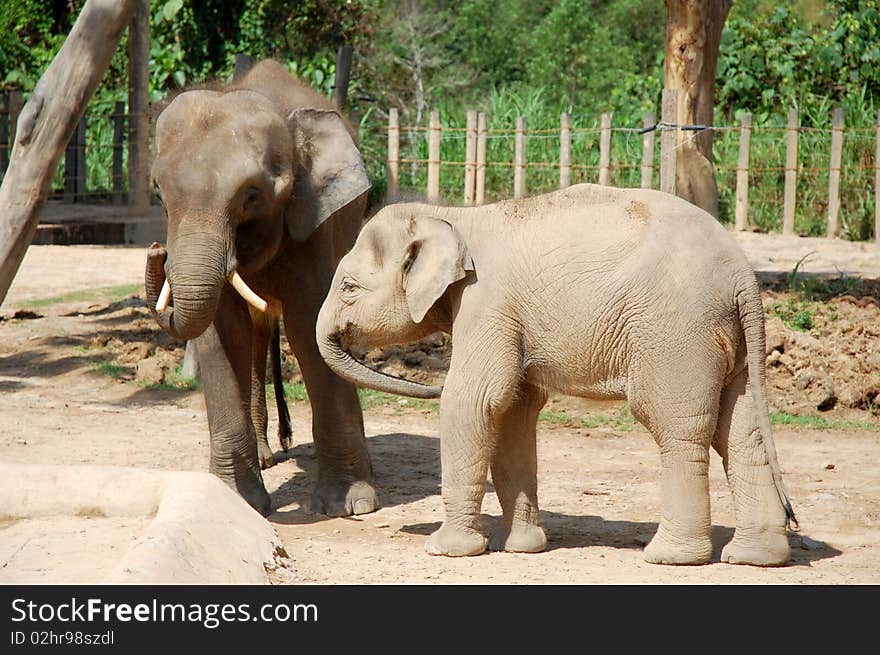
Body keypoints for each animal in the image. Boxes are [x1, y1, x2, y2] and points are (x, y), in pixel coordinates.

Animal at [144, 60, 374, 516]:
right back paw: (267, 459)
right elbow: (220, 334)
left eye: (252, 195)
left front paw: (350, 504)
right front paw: (236, 500)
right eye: (159, 193)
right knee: (253, 337)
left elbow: (309, 327)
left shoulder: (312, 220)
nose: (157, 251)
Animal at [316, 186, 796, 568]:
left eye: (349, 288)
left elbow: (473, 401)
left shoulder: (487, 302)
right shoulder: (509, 316)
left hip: (676, 333)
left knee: (678, 428)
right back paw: (755, 558)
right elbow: (513, 409)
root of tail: (743, 275)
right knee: (741, 433)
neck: (456, 216)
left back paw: (671, 557)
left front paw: (447, 550)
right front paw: (521, 547)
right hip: (730, 343)